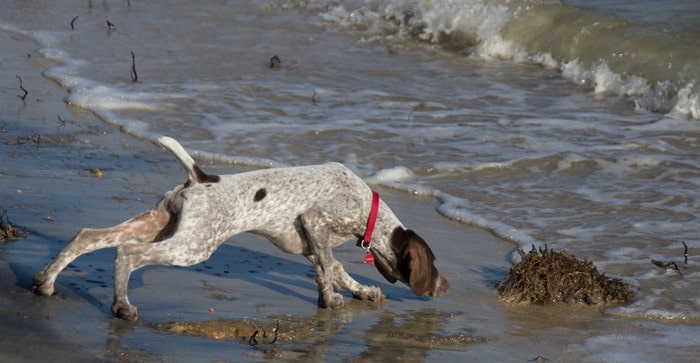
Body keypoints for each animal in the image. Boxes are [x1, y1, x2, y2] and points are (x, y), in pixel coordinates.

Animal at [32, 136, 448, 322]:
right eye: (434, 263)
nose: (445, 287)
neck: (367, 207)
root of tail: (200, 177)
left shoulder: (309, 243)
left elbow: (334, 269)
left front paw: (360, 291)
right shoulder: (314, 222)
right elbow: (330, 268)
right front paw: (331, 300)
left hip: (157, 224)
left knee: (87, 236)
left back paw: (47, 281)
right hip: (193, 245)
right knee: (128, 254)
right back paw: (122, 304)